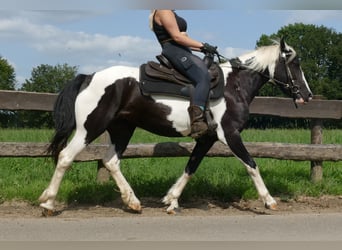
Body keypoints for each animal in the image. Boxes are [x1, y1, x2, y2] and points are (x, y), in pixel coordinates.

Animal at [39, 39, 312, 215]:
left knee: (110, 161)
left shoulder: (207, 138)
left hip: (122, 129)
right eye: (295, 64)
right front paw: (269, 200)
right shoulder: (229, 134)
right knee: (65, 157)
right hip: (90, 128)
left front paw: (171, 200)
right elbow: (252, 165)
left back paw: (133, 202)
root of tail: (89, 76)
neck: (233, 86)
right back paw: (48, 203)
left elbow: (191, 167)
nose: (307, 95)